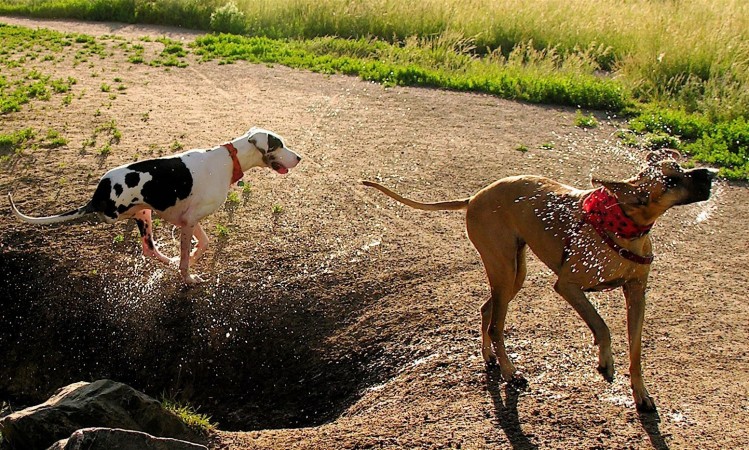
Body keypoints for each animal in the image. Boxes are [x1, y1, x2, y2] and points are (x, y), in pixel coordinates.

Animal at [8, 125, 300, 284]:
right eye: (280, 144)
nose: (299, 157)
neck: (231, 159)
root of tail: (96, 196)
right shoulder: (187, 221)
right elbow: (187, 258)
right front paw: (188, 277)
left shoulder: (189, 220)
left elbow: (203, 243)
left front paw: (190, 258)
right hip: (134, 212)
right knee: (148, 248)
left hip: (145, 214)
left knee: (148, 248)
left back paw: (167, 259)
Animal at [362, 151, 720, 412]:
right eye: (671, 181)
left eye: (680, 167)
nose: (708, 173)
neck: (624, 224)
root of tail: (473, 197)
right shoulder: (568, 286)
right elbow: (602, 325)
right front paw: (605, 362)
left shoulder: (636, 295)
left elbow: (636, 350)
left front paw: (640, 393)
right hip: (504, 270)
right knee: (496, 324)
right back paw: (510, 372)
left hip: (513, 274)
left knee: (486, 310)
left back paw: (490, 358)